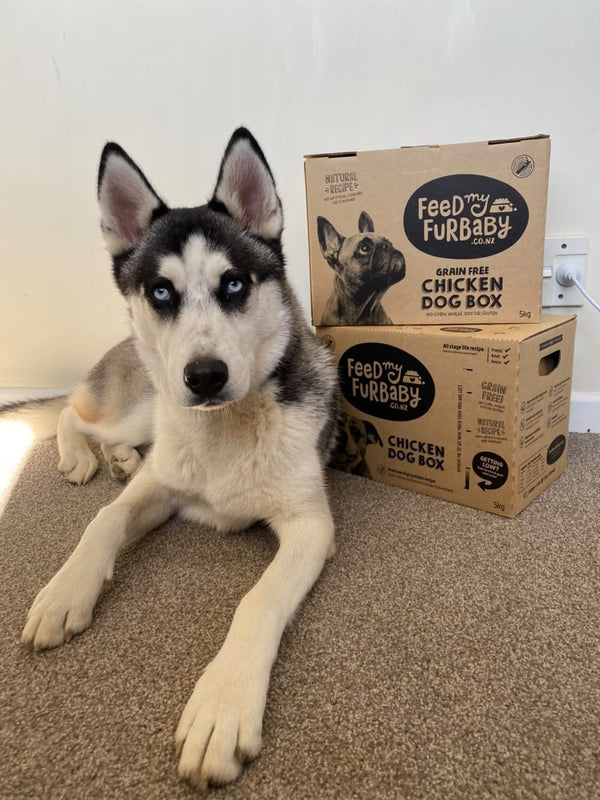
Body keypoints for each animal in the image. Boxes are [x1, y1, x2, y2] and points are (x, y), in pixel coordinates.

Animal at [20, 129, 339, 790]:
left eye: (235, 284)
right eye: (161, 291)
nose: (205, 376)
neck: (223, 430)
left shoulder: (309, 526)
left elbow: (256, 600)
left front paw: (222, 705)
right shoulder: (162, 487)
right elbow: (105, 520)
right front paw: (66, 590)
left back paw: (114, 458)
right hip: (144, 403)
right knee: (72, 411)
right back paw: (84, 455)